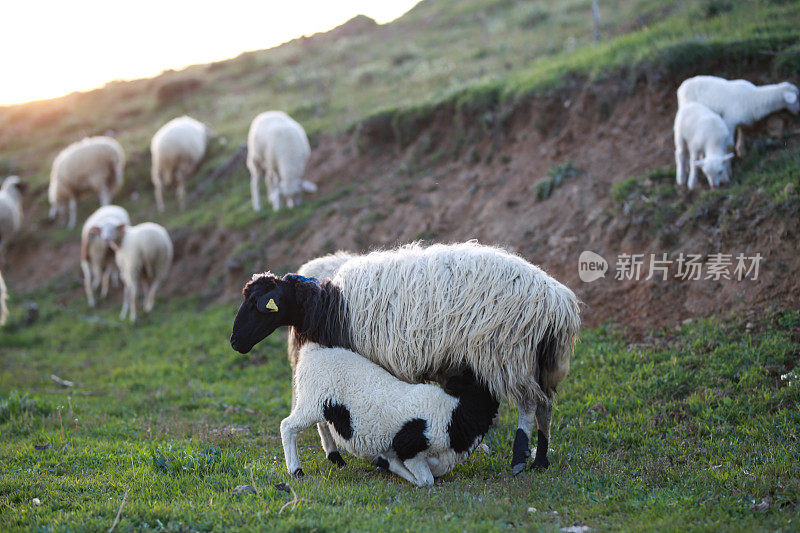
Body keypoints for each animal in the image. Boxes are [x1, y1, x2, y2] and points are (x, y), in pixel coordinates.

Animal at [280, 340, 494, 486]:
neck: (455, 417)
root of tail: (312, 351)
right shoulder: (408, 446)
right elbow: (426, 480)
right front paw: (386, 463)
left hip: (321, 405)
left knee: (323, 424)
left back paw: (335, 458)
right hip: (311, 403)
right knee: (287, 426)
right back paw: (296, 470)